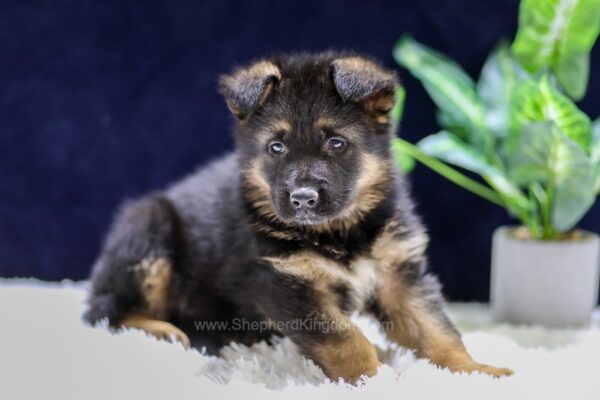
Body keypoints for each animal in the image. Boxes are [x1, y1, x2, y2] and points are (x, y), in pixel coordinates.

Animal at [84, 52, 512, 382]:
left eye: (336, 143)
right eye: (276, 147)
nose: (303, 199)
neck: (339, 232)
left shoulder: (398, 275)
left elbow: (437, 331)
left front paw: (476, 371)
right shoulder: (286, 284)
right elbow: (346, 340)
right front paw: (374, 379)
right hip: (149, 232)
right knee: (104, 312)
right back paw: (163, 331)